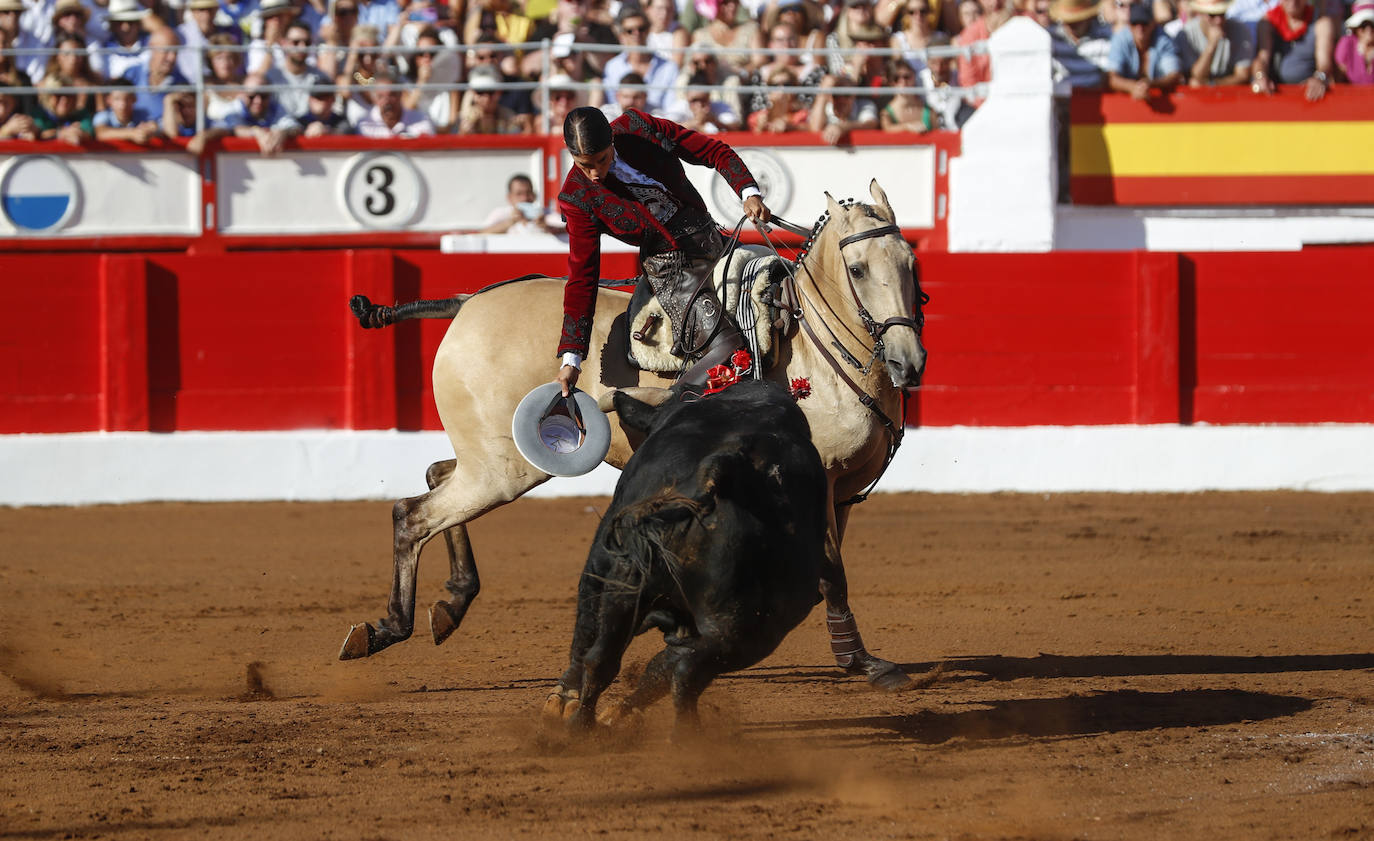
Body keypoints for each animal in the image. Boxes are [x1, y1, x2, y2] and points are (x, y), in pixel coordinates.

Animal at [338, 180, 928, 692]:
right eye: (857, 268)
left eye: (911, 262)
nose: (910, 361)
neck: (811, 347)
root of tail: (469, 302)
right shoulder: (820, 484)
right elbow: (831, 573)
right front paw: (867, 665)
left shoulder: (840, 493)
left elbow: (828, 571)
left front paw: (854, 658)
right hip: (502, 470)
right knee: (414, 515)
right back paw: (386, 627)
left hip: (491, 461)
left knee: (436, 478)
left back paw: (450, 605)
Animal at [546, 376, 824, 731]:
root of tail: (720, 471)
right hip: (749, 630)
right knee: (681, 671)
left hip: (628, 581)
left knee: (609, 659)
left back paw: (583, 728)